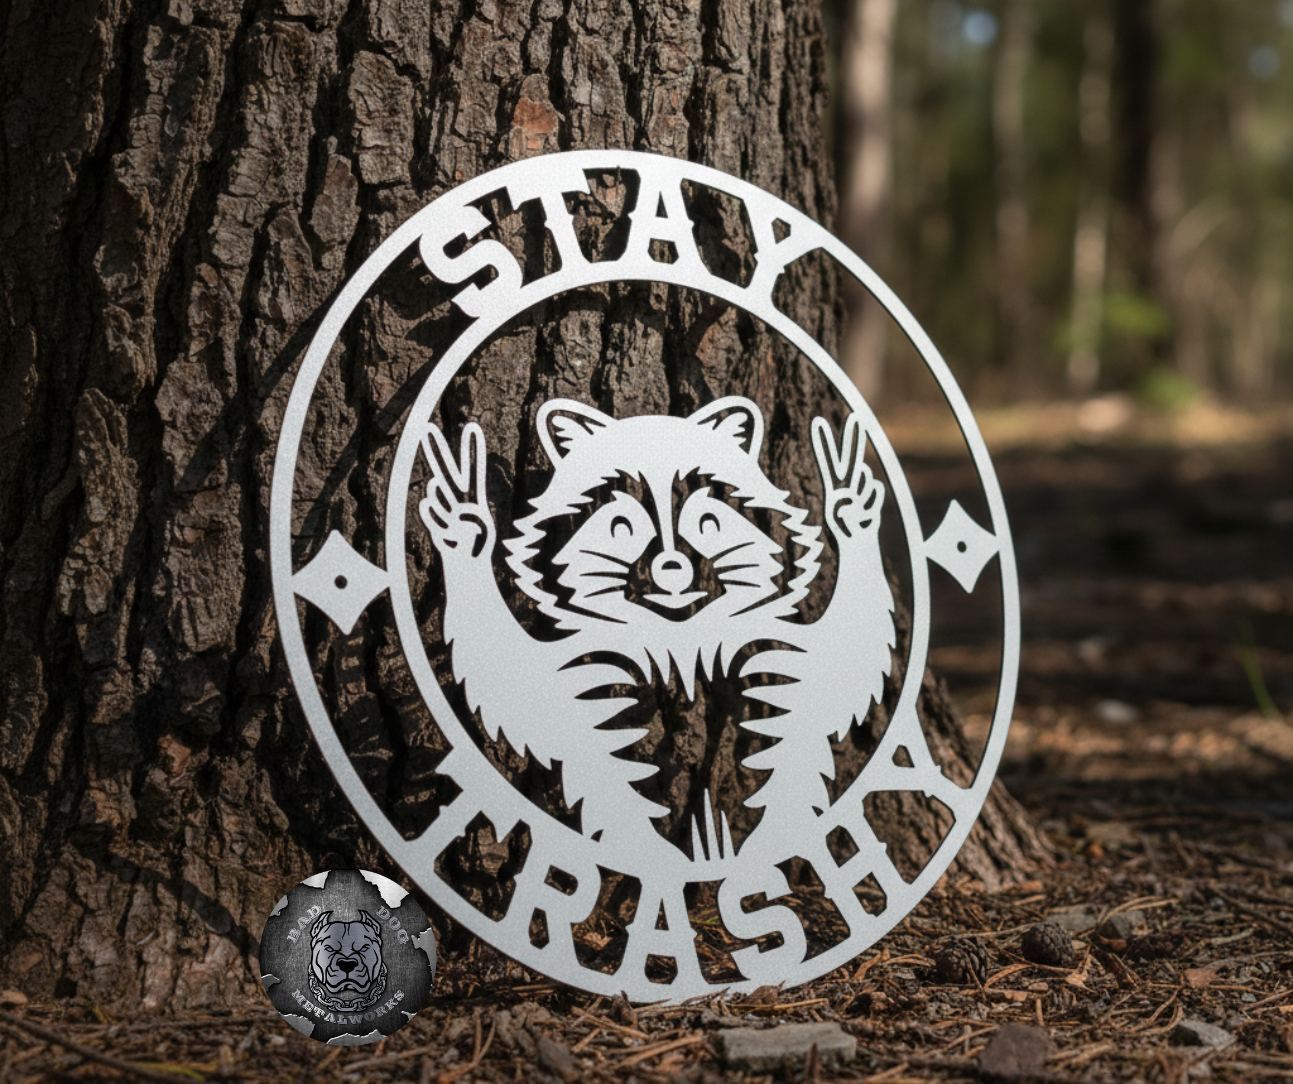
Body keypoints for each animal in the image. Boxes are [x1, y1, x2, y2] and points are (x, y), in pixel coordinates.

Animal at [419, 397, 895, 865]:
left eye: (708, 522)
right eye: (621, 527)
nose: (672, 567)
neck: (678, 645)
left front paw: (850, 509)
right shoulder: (573, 682)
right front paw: (466, 526)